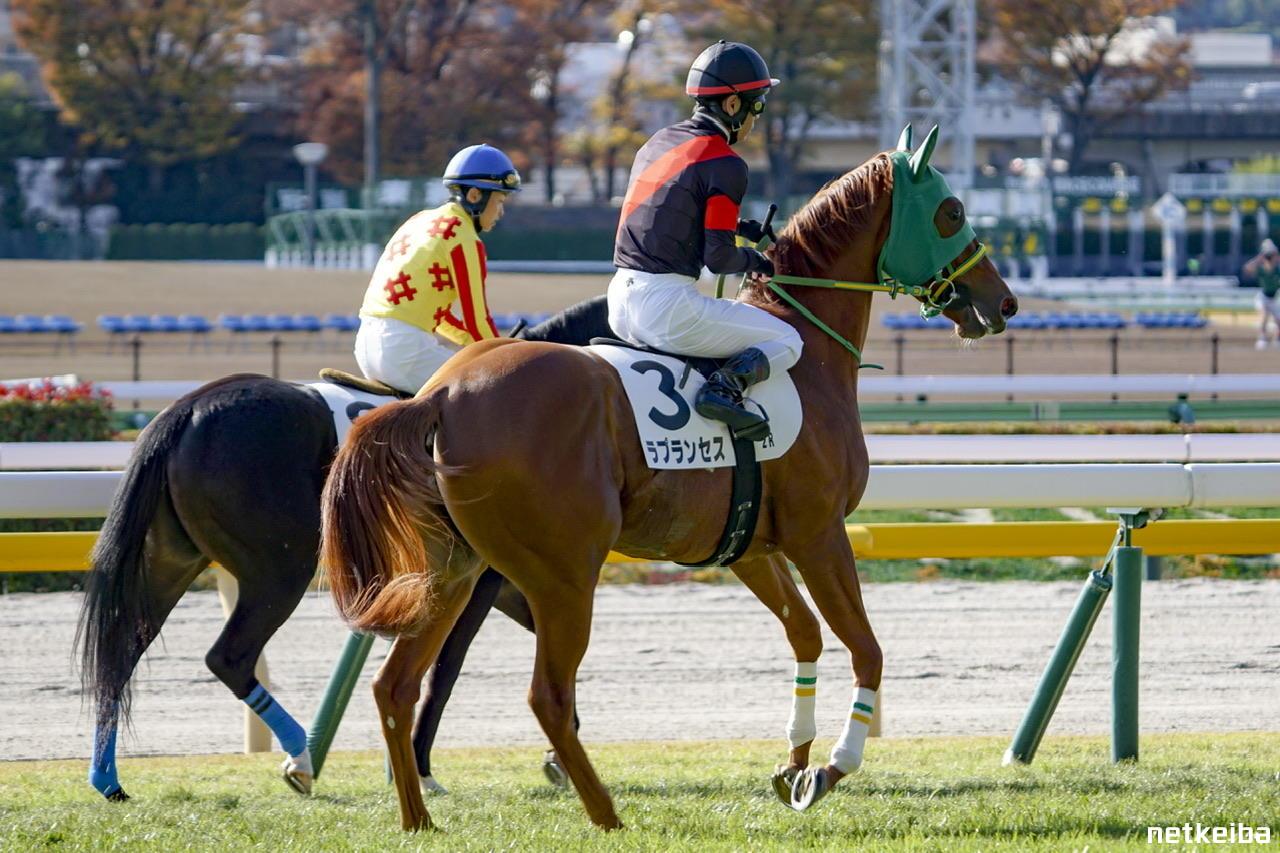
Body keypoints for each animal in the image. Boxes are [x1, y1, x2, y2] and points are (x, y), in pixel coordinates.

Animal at [76, 298, 613, 802]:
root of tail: (187, 410)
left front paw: (559, 753)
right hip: (281, 568)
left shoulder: (505, 580)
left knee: (122, 650)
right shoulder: (481, 581)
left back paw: (108, 779)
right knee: (228, 657)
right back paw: (300, 757)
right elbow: (446, 670)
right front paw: (423, 769)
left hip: (172, 559)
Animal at [319, 125, 1019, 831]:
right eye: (952, 211)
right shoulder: (819, 534)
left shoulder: (750, 546)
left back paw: (418, 820)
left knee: (395, 686)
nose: (1004, 302)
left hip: (454, 569)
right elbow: (865, 647)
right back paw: (605, 813)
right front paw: (830, 768)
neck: (808, 351)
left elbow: (805, 633)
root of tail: (439, 393)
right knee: (546, 695)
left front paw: (794, 764)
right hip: (562, 574)